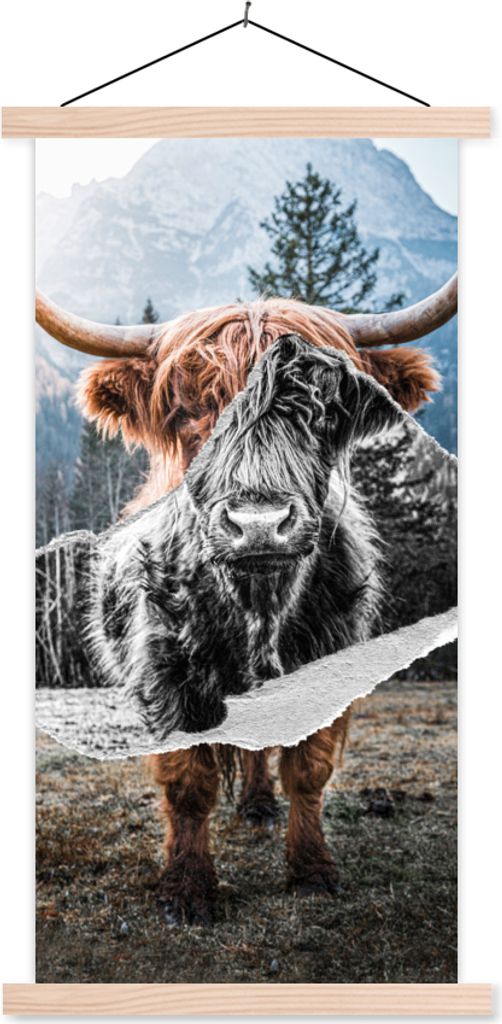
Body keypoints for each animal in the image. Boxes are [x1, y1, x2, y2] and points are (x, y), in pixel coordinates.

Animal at [36, 276, 457, 923]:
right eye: (190, 412)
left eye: (325, 415)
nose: (258, 524)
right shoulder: (165, 673)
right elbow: (188, 781)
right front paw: (187, 890)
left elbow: (308, 768)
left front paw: (312, 871)